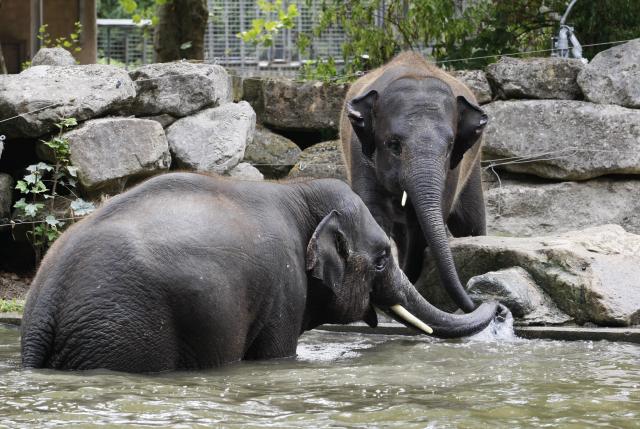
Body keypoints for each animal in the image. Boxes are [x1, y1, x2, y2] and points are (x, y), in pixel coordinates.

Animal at [21, 172, 505, 372]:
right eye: (383, 259)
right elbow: (276, 355)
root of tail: (47, 301)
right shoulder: (283, 287)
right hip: (123, 332)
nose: (499, 307)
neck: (294, 190)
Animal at [341, 51, 489, 313]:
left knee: (469, 225)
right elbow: (373, 213)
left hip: (472, 171)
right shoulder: (359, 153)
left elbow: (422, 226)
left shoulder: (454, 169)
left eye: (450, 147)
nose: (482, 303)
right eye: (393, 145)